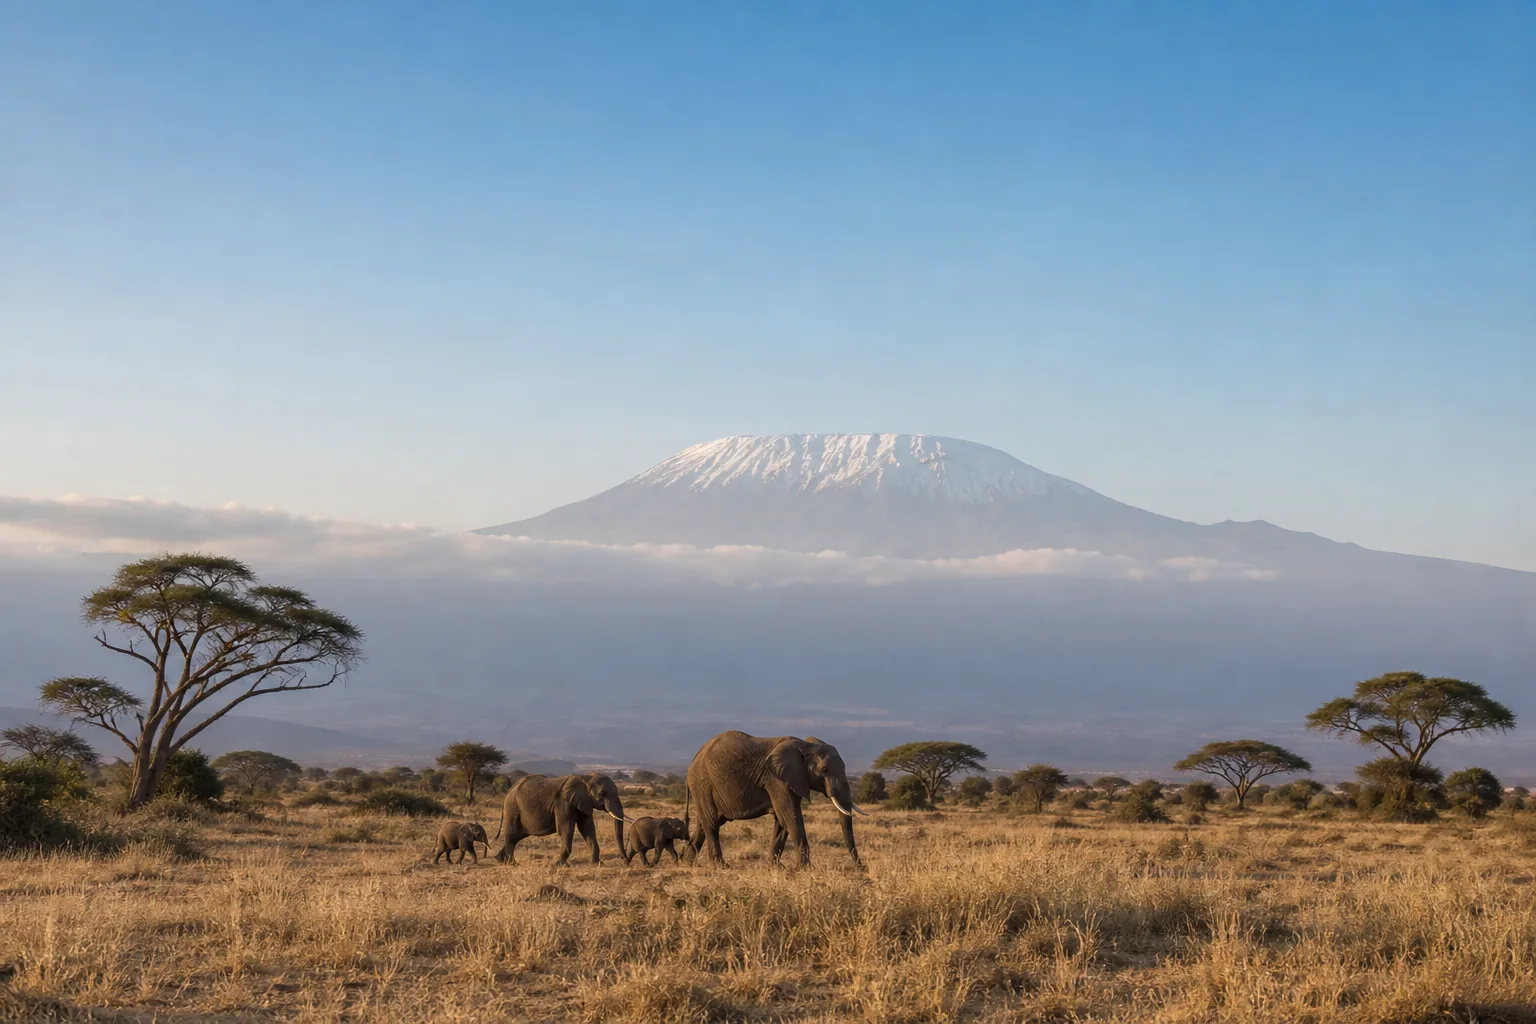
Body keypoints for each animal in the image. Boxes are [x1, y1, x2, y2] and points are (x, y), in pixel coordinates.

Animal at [493, 772, 636, 866]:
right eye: (602, 793)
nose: (625, 861)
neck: (586, 778)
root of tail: (509, 790)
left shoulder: (584, 802)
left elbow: (587, 828)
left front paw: (597, 865)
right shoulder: (563, 802)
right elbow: (565, 829)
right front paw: (558, 865)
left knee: (516, 836)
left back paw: (500, 860)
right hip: (512, 808)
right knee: (512, 834)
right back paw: (512, 864)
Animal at [685, 731, 868, 866]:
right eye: (824, 770)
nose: (861, 868)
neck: (805, 745)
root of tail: (694, 758)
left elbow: (782, 820)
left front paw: (777, 867)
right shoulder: (776, 780)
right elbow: (790, 815)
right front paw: (805, 869)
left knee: (704, 823)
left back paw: (686, 861)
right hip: (702, 784)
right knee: (712, 823)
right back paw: (721, 866)